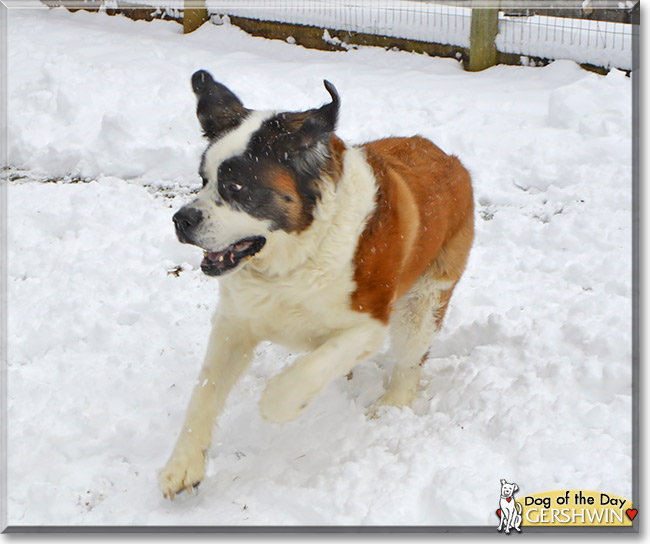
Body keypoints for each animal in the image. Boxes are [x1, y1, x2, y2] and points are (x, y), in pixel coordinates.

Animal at [157, 70, 470, 500]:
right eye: (203, 180)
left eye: (237, 188)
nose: (181, 219)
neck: (295, 259)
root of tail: (449, 159)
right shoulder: (234, 323)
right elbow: (205, 391)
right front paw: (183, 464)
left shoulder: (369, 324)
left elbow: (304, 373)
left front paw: (278, 402)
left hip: (423, 301)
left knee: (410, 359)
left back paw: (391, 403)